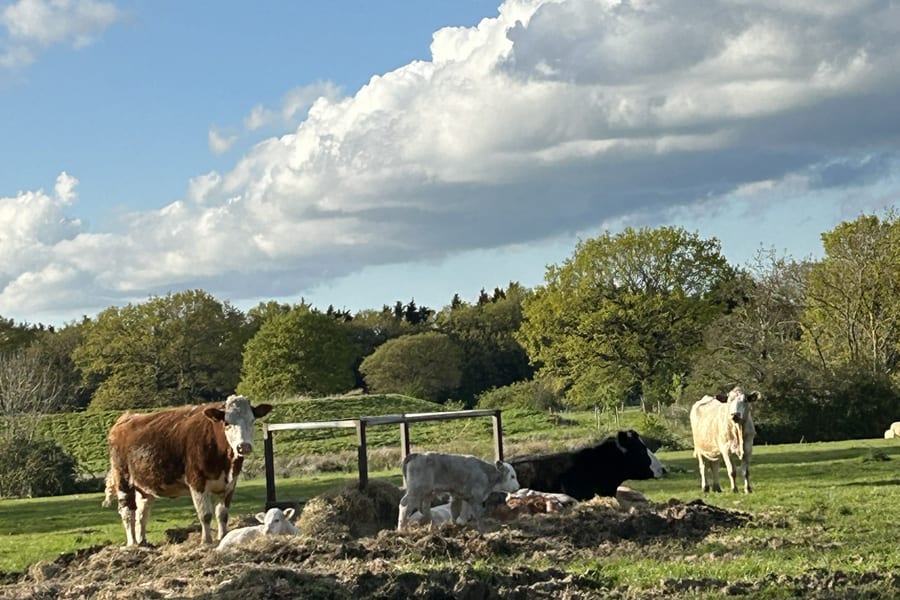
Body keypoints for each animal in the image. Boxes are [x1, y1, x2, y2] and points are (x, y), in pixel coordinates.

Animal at [103, 394, 273, 546]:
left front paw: (222, 537)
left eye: (252, 420)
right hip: (123, 479)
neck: (226, 462)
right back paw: (132, 543)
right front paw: (206, 541)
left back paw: (143, 542)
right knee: (127, 512)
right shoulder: (197, 482)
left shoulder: (230, 484)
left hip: (144, 485)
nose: (243, 446)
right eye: (227, 423)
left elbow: (222, 514)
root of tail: (125, 418)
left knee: (142, 513)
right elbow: (205, 514)